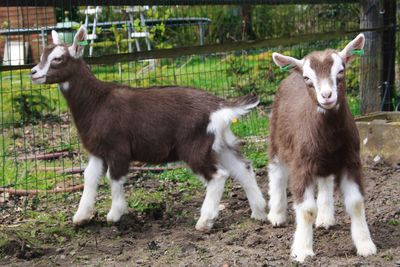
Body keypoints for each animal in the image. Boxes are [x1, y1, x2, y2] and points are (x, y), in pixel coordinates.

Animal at [31, 27, 268, 231]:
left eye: (58, 58)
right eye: (43, 54)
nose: (33, 72)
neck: (96, 102)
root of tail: (219, 107)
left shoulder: (117, 147)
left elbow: (113, 177)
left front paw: (115, 214)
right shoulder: (98, 150)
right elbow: (89, 177)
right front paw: (81, 216)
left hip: (194, 144)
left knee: (218, 175)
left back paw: (205, 221)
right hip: (219, 143)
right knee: (243, 168)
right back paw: (259, 212)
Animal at [268, 34, 376, 264]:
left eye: (341, 71)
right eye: (308, 79)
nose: (326, 95)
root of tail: (291, 74)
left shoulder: (351, 160)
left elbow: (356, 203)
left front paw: (365, 245)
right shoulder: (301, 164)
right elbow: (307, 209)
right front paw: (302, 250)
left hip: (324, 160)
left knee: (325, 180)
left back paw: (325, 218)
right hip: (276, 136)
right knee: (276, 172)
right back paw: (276, 215)